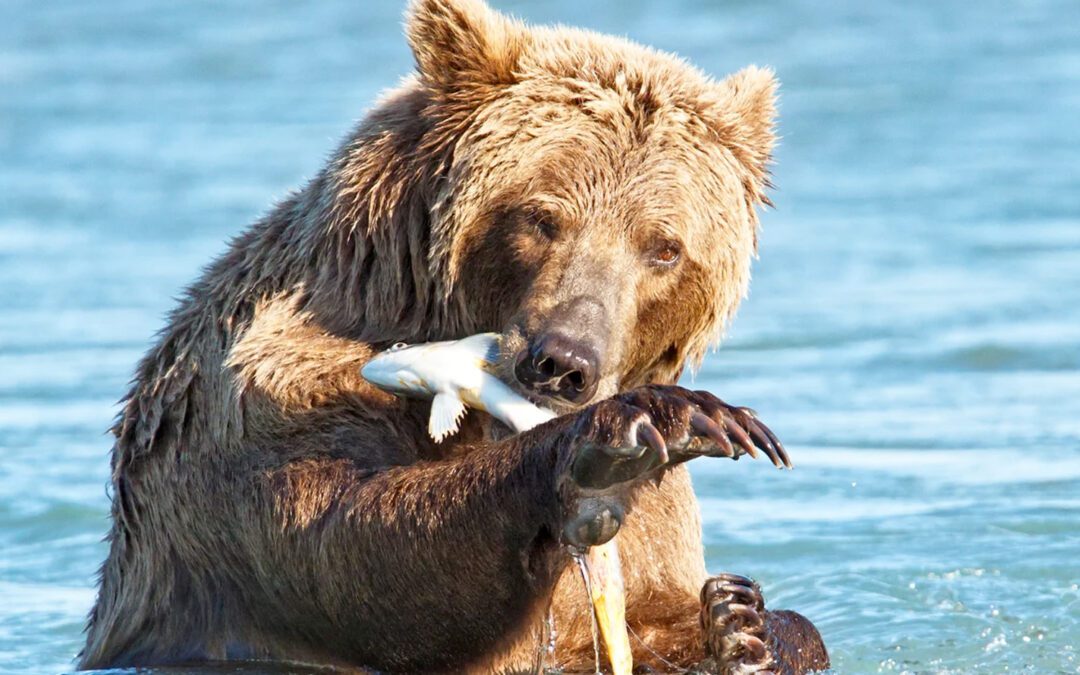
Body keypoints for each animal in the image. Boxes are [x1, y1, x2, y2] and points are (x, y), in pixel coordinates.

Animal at [78, 0, 829, 673]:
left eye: (664, 248)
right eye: (541, 216)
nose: (564, 362)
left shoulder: (656, 524)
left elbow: (642, 610)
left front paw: (744, 625)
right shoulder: (269, 392)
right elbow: (358, 545)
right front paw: (625, 441)